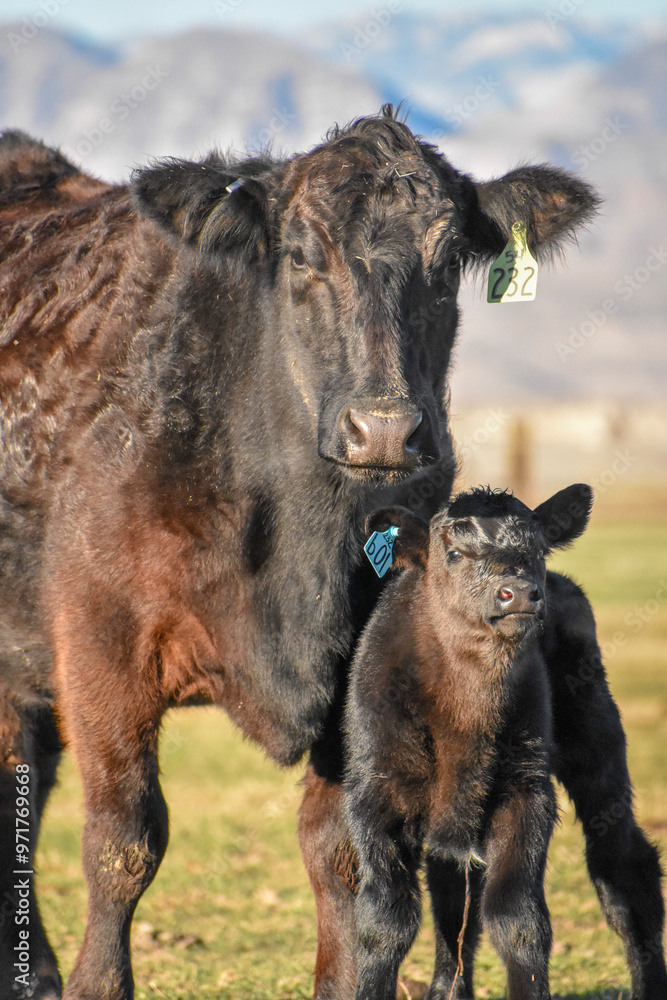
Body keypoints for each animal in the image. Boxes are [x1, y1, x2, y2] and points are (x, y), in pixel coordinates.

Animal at [344, 485, 591, 1000]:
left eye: (538, 549)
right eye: (454, 554)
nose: (517, 592)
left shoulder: (527, 792)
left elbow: (518, 919)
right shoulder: (374, 792)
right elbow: (386, 921)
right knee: (450, 897)